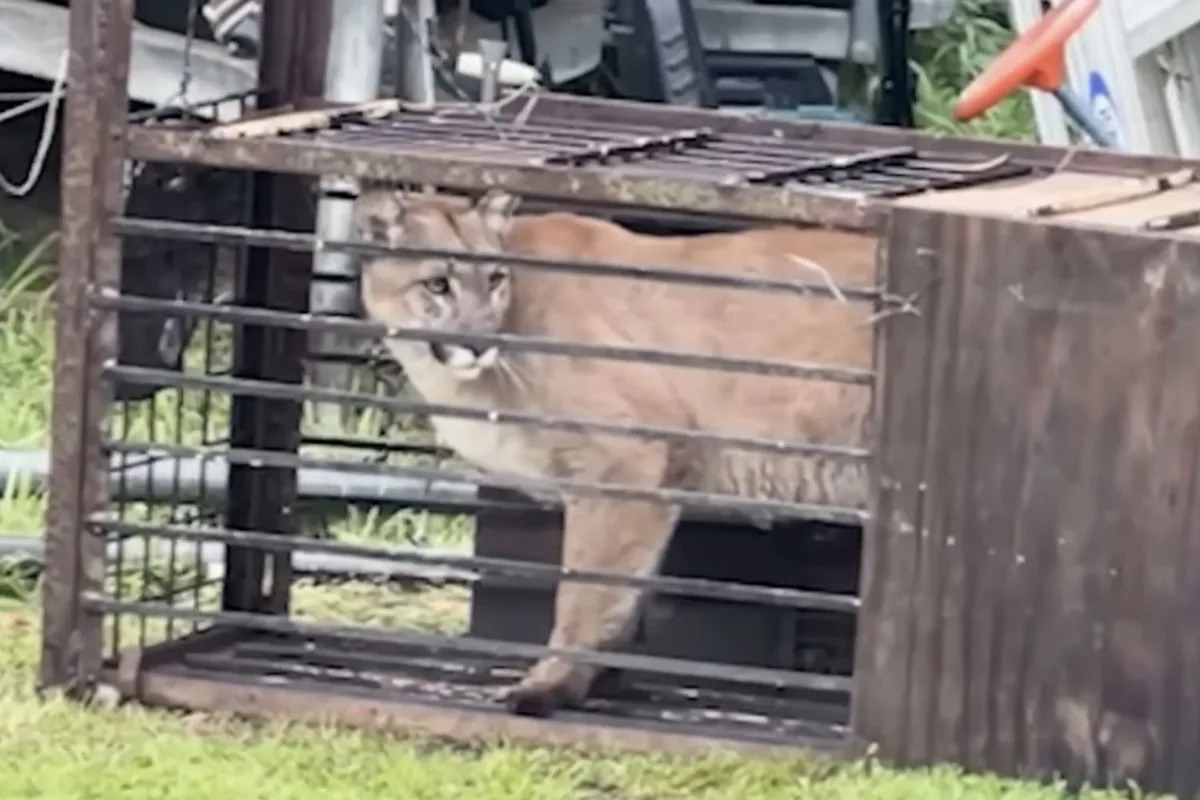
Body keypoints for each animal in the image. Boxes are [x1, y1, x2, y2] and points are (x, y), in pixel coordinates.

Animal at [353, 187, 877, 717]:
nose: (478, 343)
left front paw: (548, 685)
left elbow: (585, 591)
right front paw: (597, 681)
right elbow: (626, 589)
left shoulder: (624, 464)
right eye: (438, 284)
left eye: (495, 279)